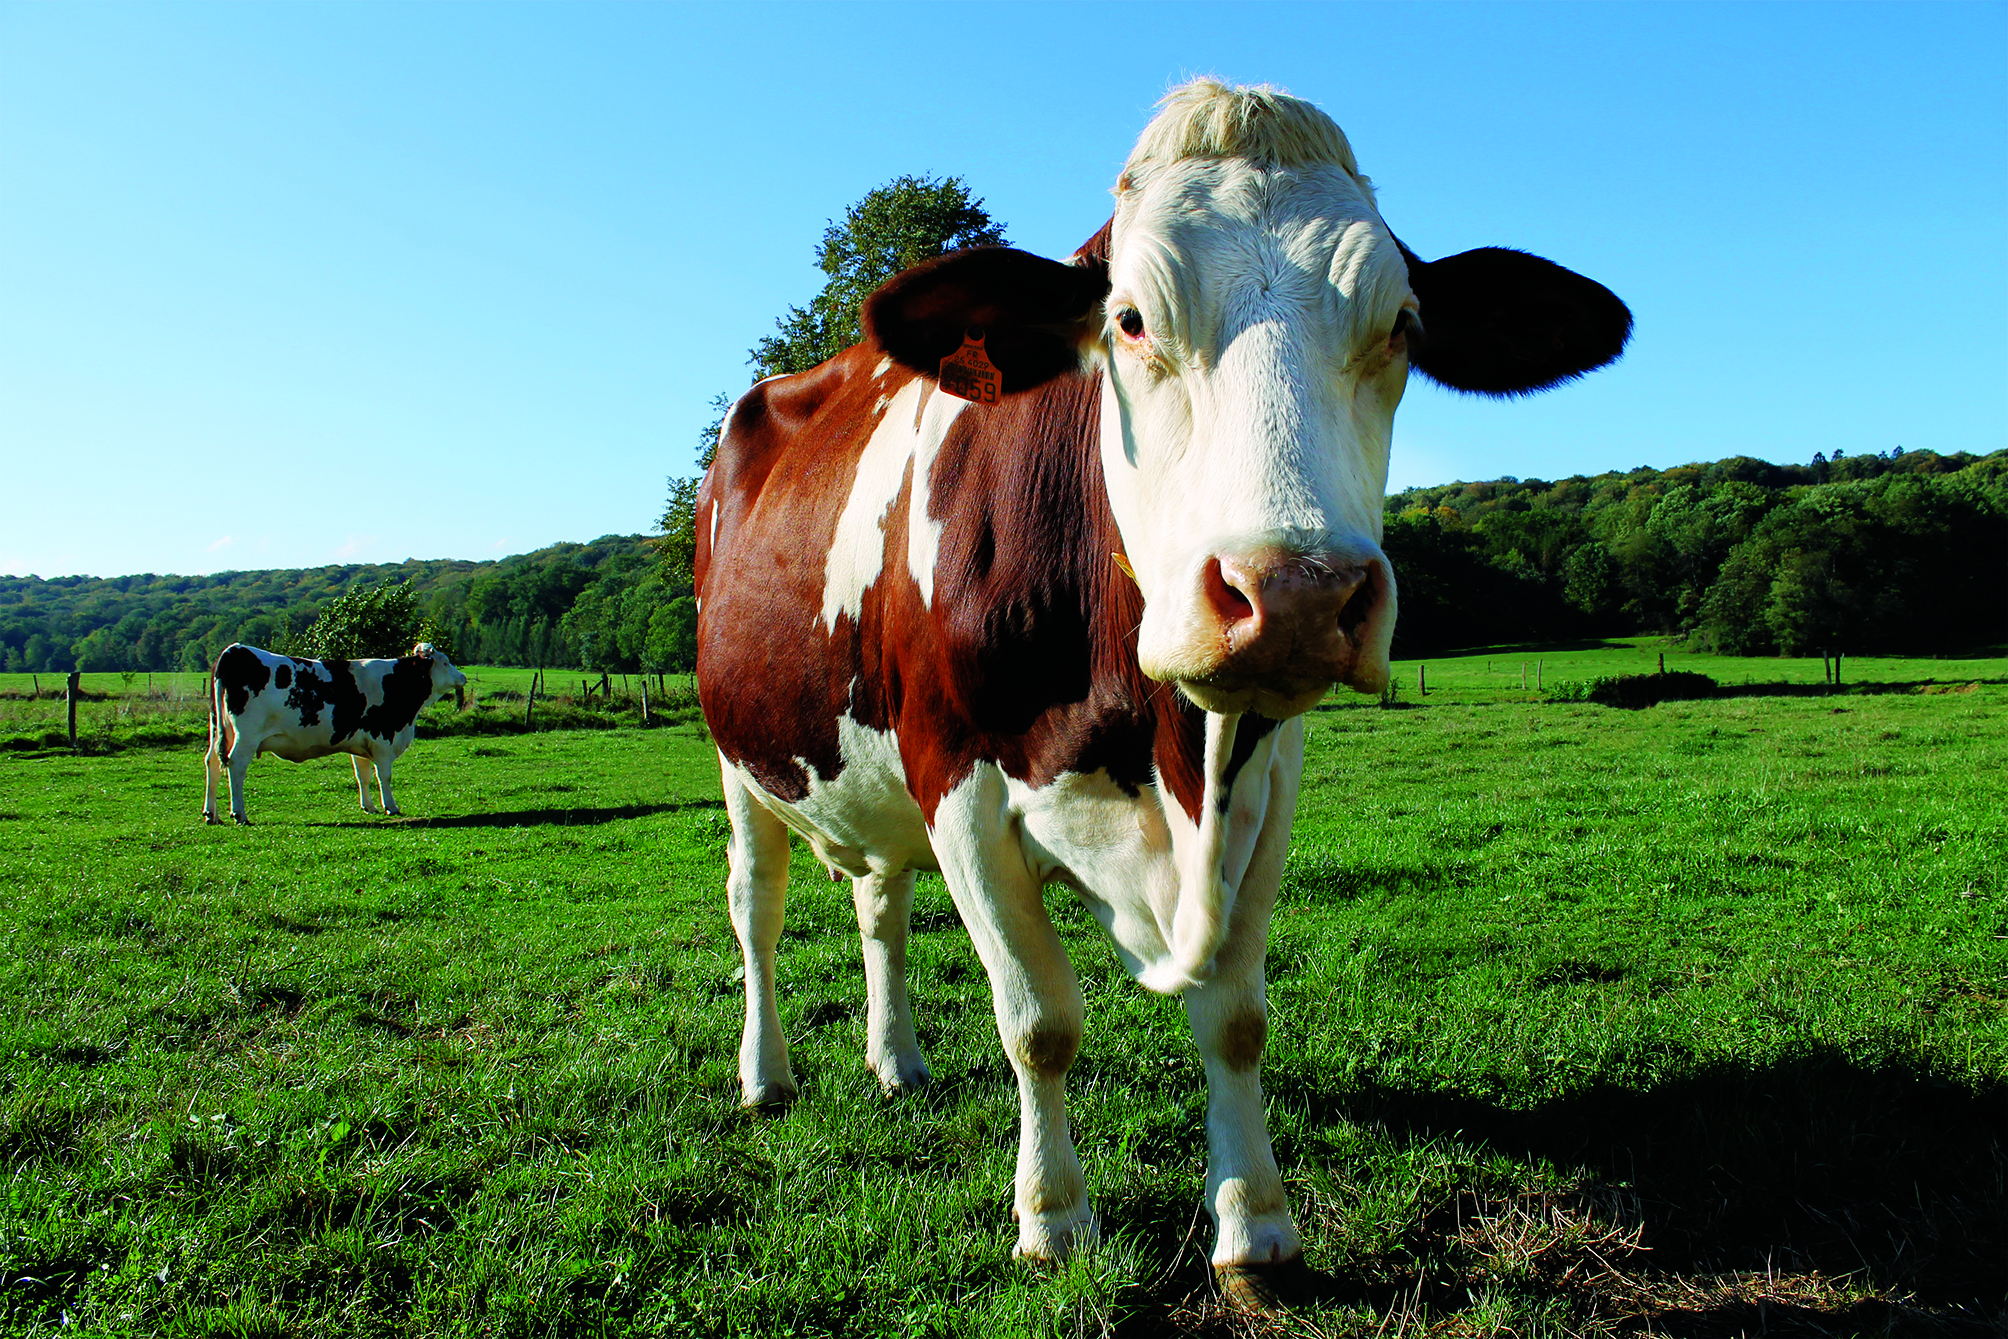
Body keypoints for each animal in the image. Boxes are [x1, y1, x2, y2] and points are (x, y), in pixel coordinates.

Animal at [203, 642, 467, 824]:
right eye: (445, 662)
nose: (463, 677)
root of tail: (234, 650)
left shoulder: (361, 743)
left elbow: (363, 775)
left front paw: (368, 807)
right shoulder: (382, 738)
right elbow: (384, 776)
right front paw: (391, 806)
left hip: (218, 729)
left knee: (212, 762)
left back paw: (211, 814)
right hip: (246, 736)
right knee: (235, 765)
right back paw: (239, 814)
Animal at [696, 80, 1631, 1297]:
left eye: (1402, 326)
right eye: (1131, 321)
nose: (1292, 590)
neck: (1158, 746)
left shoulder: (1268, 784)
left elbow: (1233, 1016)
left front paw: (1257, 1227)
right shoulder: (957, 780)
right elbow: (1037, 1018)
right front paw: (1054, 1218)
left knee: (879, 903)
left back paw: (897, 1059)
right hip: (739, 756)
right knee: (756, 907)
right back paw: (767, 1074)